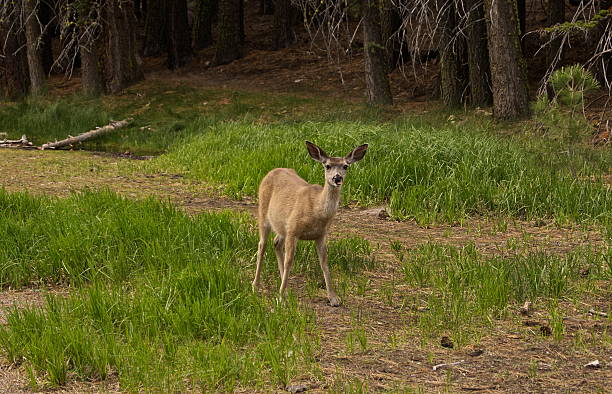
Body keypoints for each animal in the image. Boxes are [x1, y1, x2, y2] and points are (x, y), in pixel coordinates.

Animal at [250, 140, 368, 306]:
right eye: (327, 166)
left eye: (345, 166)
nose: (337, 178)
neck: (317, 210)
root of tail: (272, 171)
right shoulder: (293, 230)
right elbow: (289, 261)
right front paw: (280, 297)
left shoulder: (321, 234)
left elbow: (324, 263)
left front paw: (333, 297)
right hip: (263, 213)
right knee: (262, 245)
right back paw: (256, 285)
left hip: (282, 226)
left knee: (276, 243)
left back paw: (285, 288)